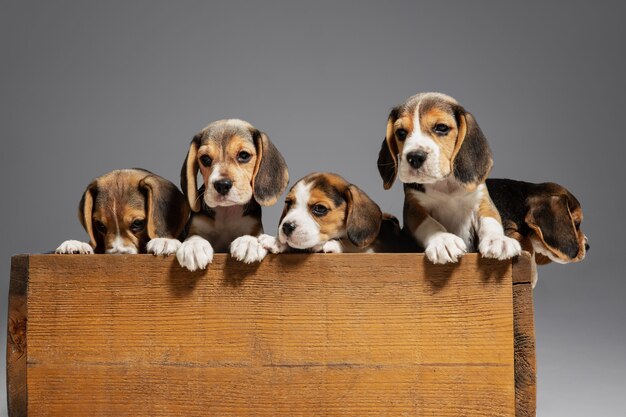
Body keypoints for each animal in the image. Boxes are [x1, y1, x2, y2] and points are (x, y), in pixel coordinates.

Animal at [176, 118, 288, 272]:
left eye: (244, 155)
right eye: (205, 159)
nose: (222, 185)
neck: (226, 212)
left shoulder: (253, 225)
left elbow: (254, 235)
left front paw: (249, 242)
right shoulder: (196, 226)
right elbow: (194, 236)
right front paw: (194, 247)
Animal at [256, 171, 412, 254]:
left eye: (320, 208)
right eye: (288, 203)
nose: (287, 227)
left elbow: (352, 246)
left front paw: (333, 244)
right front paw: (275, 241)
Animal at [376, 92, 520, 264]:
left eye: (441, 128)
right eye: (401, 133)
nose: (415, 157)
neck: (445, 184)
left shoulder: (482, 201)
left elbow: (490, 220)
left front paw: (498, 240)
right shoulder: (413, 208)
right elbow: (430, 223)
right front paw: (443, 241)